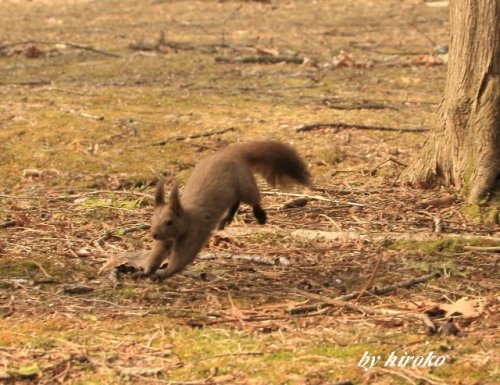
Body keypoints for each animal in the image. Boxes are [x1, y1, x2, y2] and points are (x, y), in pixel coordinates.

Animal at [143, 140, 310, 280]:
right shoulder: (165, 240)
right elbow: (157, 254)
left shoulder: (194, 234)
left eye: (169, 222)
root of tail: (233, 152)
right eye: (152, 219)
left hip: (245, 184)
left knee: (253, 199)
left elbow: (183, 257)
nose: (154, 234)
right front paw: (145, 271)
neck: (187, 218)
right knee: (235, 202)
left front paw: (164, 273)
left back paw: (260, 216)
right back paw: (226, 219)